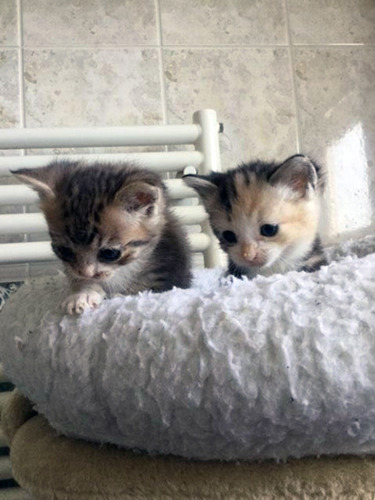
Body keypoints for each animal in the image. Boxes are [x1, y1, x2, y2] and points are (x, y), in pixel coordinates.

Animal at [13, 160, 192, 314]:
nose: (86, 273)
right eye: (62, 250)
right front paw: (83, 294)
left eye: (110, 253)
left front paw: (117, 295)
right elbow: (81, 280)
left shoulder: (166, 275)